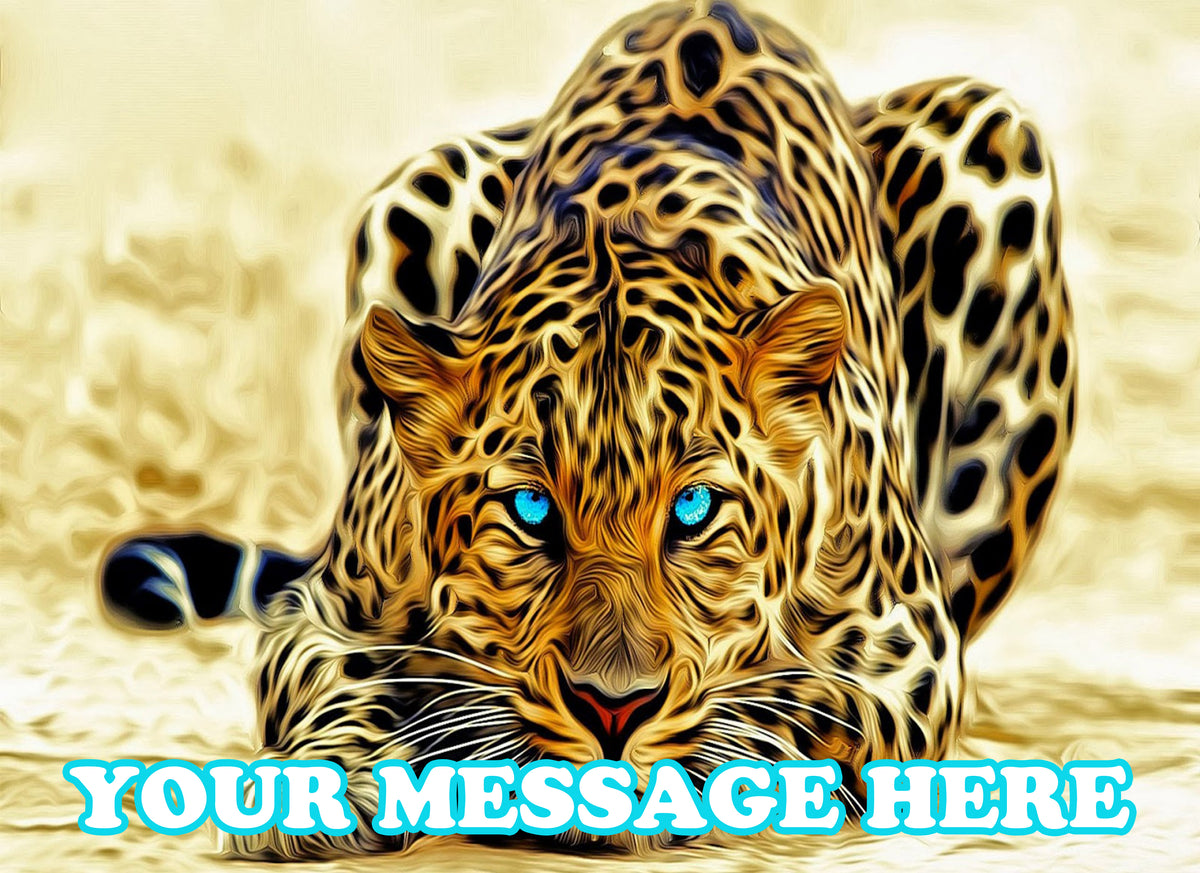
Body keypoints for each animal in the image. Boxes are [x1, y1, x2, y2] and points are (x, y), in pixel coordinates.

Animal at [100, 0, 1075, 858]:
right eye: (531, 510)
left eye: (693, 512)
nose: (614, 706)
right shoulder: (325, 612)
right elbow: (339, 685)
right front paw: (325, 785)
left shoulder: (903, 652)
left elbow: (782, 709)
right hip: (418, 186)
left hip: (993, 141)